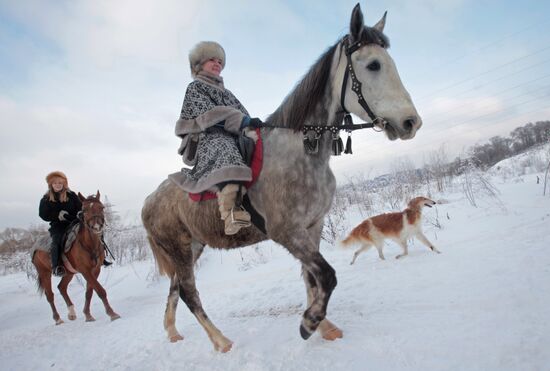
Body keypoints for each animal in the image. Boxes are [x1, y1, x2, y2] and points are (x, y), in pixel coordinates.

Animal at [32, 192, 121, 326]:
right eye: (84, 210)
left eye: (102, 207)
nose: (96, 227)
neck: (89, 244)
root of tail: (35, 247)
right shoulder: (85, 270)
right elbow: (100, 290)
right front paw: (112, 314)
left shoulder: (95, 270)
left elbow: (90, 292)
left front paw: (88, 315)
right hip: (44, 273)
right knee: (50, 295)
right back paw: (58, 319)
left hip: (69, 273)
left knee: (62, 287)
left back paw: (71, 313)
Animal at [142, 3, 422, 354]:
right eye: (373, 64)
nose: (411, 122)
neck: (300, 152)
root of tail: (148, 202)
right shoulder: (287, 232)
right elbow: (326, 276)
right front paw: (309, 323)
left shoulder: (311, 227)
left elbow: (311, 278)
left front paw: (324, 325)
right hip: (180, 250)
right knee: (189, 293)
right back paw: (221, 341)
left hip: (191, 248)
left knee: (176, 289)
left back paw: (173, 332)